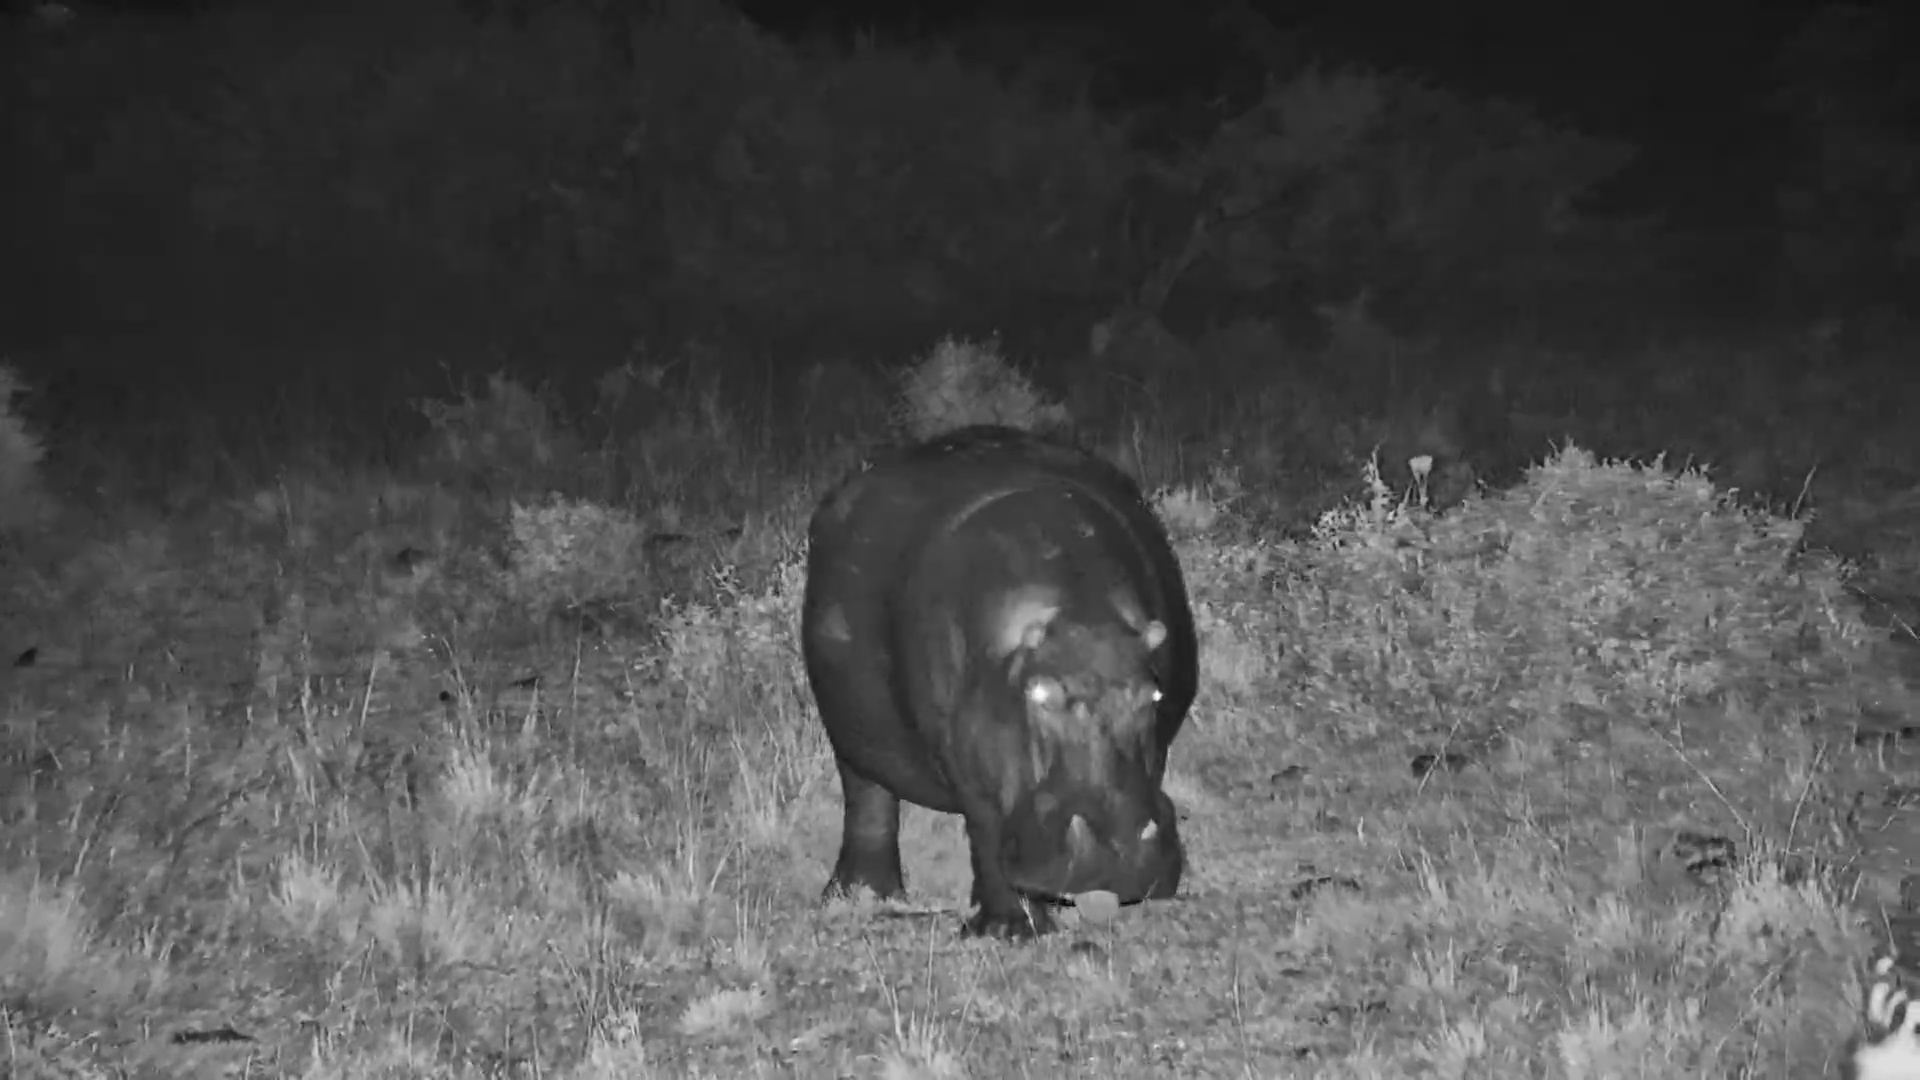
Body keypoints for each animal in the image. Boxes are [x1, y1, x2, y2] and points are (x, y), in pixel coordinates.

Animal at [801, 424, 1198, 939]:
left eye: (1154, 692)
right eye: (1039, 692)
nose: (1121, 849)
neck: (1080, 616)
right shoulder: (967, 758)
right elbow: (986, 829)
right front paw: (1010, 931)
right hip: (851, 733)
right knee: (868, 799)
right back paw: (861, 896)